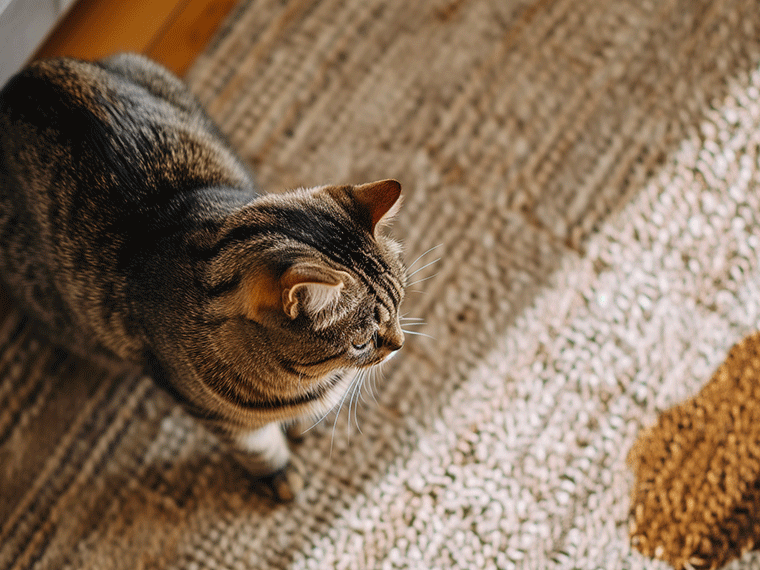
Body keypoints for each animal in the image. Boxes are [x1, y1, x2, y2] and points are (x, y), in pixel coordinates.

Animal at [0, 53, 406, 496]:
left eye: (402, 304)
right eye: (362, 342)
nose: (400, 344)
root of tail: (23, 77)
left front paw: (301, 428)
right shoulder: (215, 415)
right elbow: (260, 449)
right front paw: (281, 474)